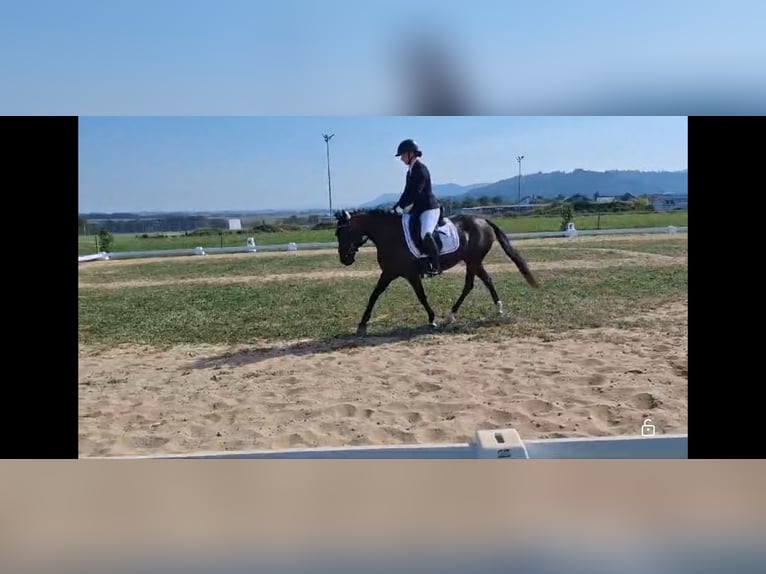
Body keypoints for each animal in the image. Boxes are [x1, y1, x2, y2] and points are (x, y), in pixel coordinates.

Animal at [334, 208, 540, 338]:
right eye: (336, 234)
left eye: (344, 232)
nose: (344, 259)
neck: (389, 234)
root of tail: (483, 220)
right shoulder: (389, 272)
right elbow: (374, 295)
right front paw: (362, 326)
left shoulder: (409, 274)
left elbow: (421, 296)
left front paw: (432, 320)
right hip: (474, 261)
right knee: (486, 280)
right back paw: (498, 309)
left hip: (473, 261)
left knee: (469, 285)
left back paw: (451, 316)